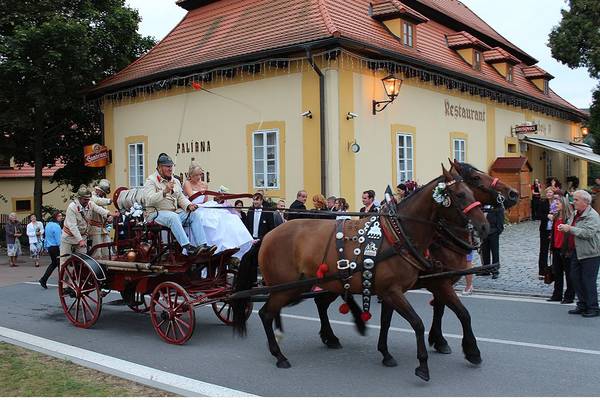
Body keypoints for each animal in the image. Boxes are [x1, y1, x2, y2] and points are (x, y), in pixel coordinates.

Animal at [232, 166, 490, 382]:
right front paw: (424, 365)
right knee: (266, 313)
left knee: (307, 305)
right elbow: (418, 323)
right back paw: (280, 355)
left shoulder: (396, 289)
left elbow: (452, 314)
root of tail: (267, 235)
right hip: (287, 287)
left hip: (313, 284)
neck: (398, 234)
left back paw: (327, 337)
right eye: (461, 194)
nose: (485, 226)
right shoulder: (400, 289)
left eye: (471, 190)